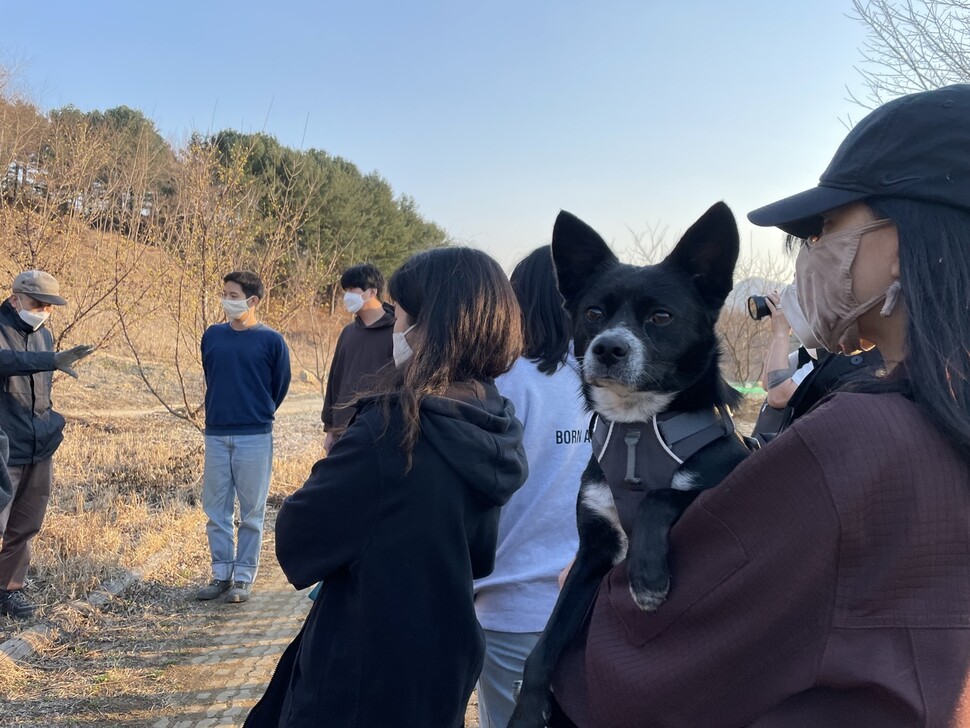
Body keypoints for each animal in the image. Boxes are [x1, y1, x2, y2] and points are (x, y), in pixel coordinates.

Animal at [510, 200, 752, 728]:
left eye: (661, 316)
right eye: (593, 313)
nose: (608, 347)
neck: (638, 427)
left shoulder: (720, 482)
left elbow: (663, 495)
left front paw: (647, 578)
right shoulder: (593, 551)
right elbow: (544, 643)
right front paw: (528, 709)